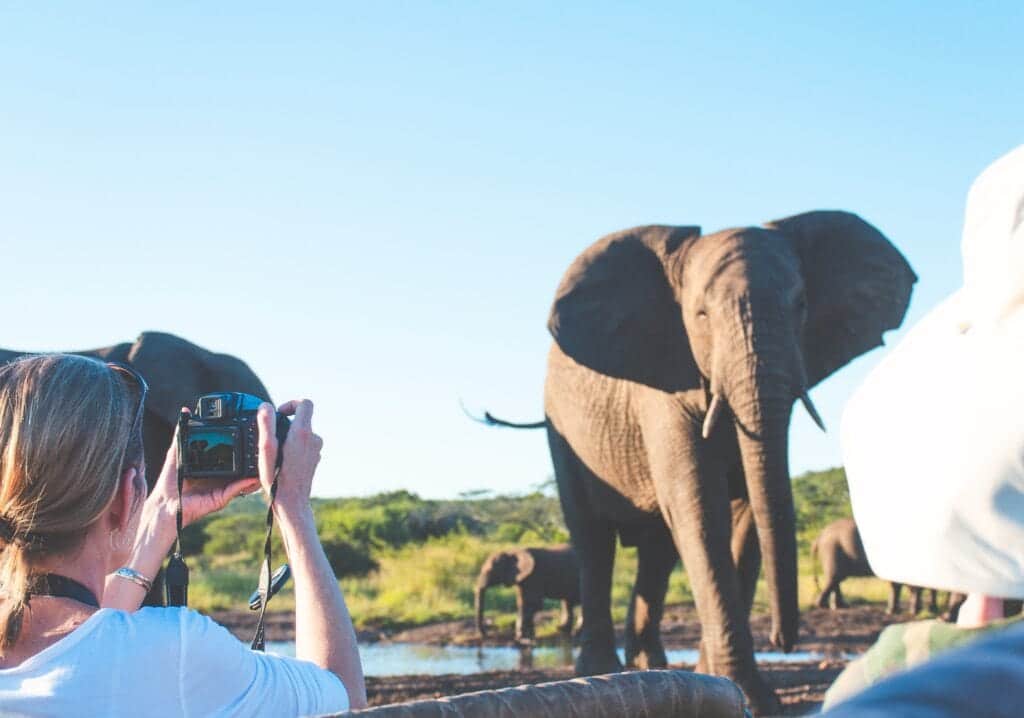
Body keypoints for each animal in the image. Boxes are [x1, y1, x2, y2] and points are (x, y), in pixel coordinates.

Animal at [483, 208, 917, 712]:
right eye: (702, 315)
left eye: (801, 305)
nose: (783, 639)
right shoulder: (665, 389)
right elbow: (701, 511)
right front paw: (747, 694)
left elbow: (745, 518)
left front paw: (729, 685)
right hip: (562, 429)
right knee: (593, 538)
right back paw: (600, 670)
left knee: (656, 550)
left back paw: (651, 666)